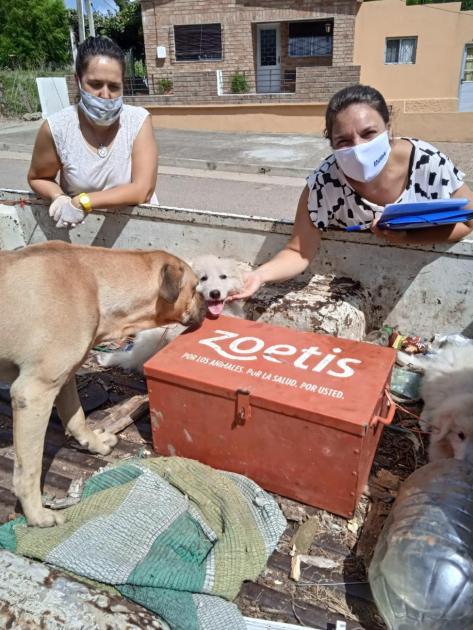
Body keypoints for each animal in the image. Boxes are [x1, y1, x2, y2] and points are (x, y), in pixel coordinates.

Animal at [0, 242, 205, 528]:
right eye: (196, 287)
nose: (208, 307)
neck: (94, 284)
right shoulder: (34, 392)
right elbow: (29, 469)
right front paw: (36, 515)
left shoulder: (65, 378)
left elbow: (77, 418)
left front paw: (94, 444)